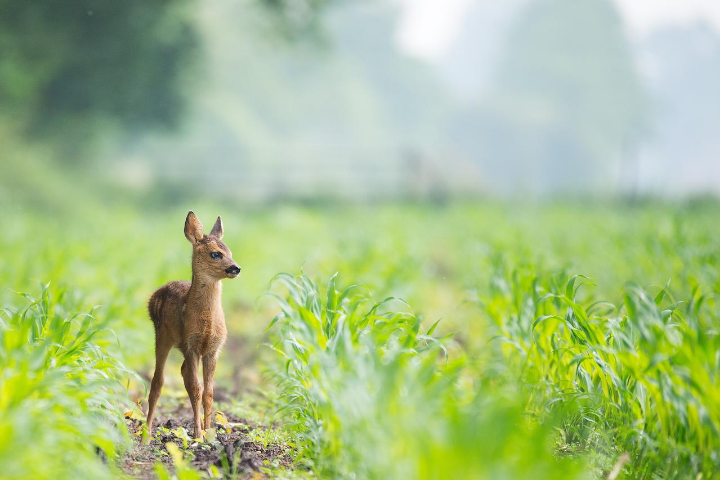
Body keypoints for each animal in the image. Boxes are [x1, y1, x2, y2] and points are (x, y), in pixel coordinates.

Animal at [144, 211, 241, 442]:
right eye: (216, 254)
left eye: (230, 251)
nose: (236, 268)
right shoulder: (191, 345)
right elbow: (196, 389)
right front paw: (198, 435)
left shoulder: (213, 349)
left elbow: (209, 392)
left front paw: (210, 433)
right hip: (162, 336)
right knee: (158, 382)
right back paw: (146, 434)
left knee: (183, 374)